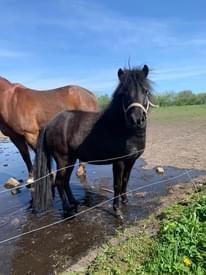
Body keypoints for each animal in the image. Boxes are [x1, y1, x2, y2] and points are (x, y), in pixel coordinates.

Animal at [32, 65, 153, 218]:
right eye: (124, 93)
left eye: (145, 91)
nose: (136, 120)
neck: (122, 128)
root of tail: (50, 123)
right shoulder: (119, 162)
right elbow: (117, 184)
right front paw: (117, 210)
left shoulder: (131, 160)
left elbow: (126, 180)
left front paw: (125, 201)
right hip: (62, 159)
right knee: (59, 182)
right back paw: (68, 210)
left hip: (71, 159)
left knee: (65, 181)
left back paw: (74, 203)